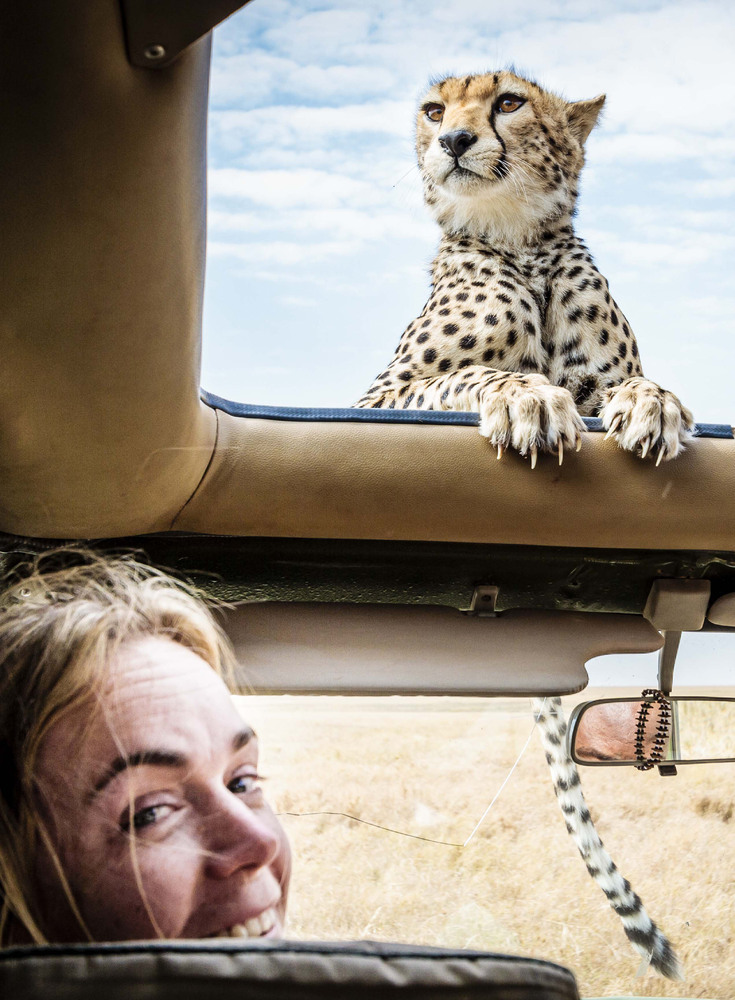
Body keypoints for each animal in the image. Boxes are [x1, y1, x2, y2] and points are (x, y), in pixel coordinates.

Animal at [358, 70, 696, 468]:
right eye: (434, 111)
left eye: (509, 103)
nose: (454, 139)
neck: (518, 241)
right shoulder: (378, 396)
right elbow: (463, 375)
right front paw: (527, 396)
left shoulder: (596, 388)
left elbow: (631, 382)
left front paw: (653, 400)